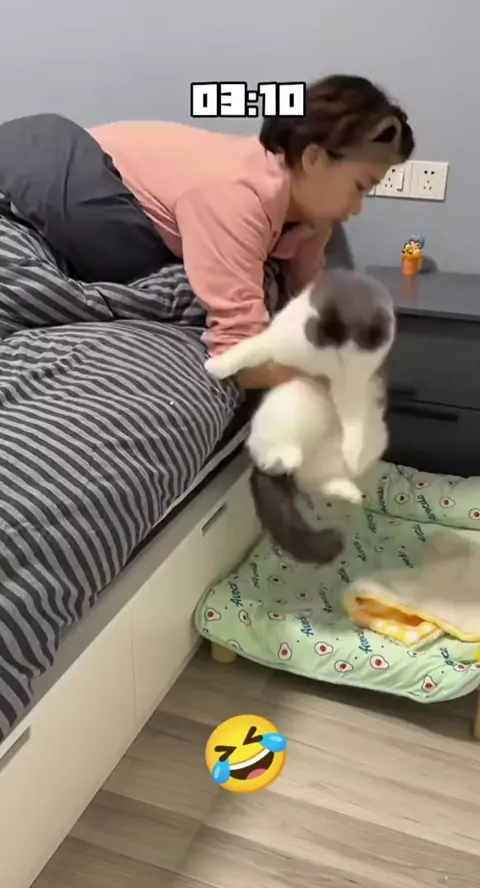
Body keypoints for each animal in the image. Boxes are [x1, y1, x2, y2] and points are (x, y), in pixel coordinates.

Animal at [205, 269, 395, 564]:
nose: (335, 368)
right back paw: (286, 457)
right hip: (296, 397)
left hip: (373, 439)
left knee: (318, 482)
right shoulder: (277, 343)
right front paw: (216, 366)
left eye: (345, 359)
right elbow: (247, 350)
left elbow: (352, 419)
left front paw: (351, 449)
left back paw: (349, 488)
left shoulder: (354, 383)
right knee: (272, 455)